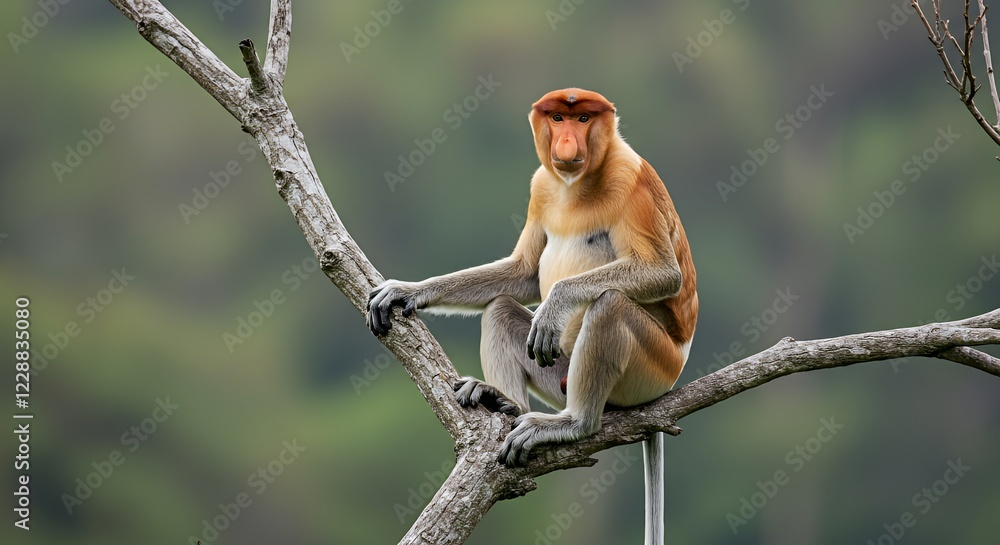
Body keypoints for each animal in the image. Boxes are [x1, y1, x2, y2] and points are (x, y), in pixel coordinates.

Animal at [368, 88, 697, 545]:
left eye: (583, 119)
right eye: (558, 118)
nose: (567, 144)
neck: (576, 185)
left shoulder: (631, 181)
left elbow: (664, 273)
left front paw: (553, 304)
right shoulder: (542, 184)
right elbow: (523, 273)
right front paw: (407, 291)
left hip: (653, 368)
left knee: (610, 304)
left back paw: (573, 423)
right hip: (560, 372)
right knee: (501, 308)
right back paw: (503, 401)